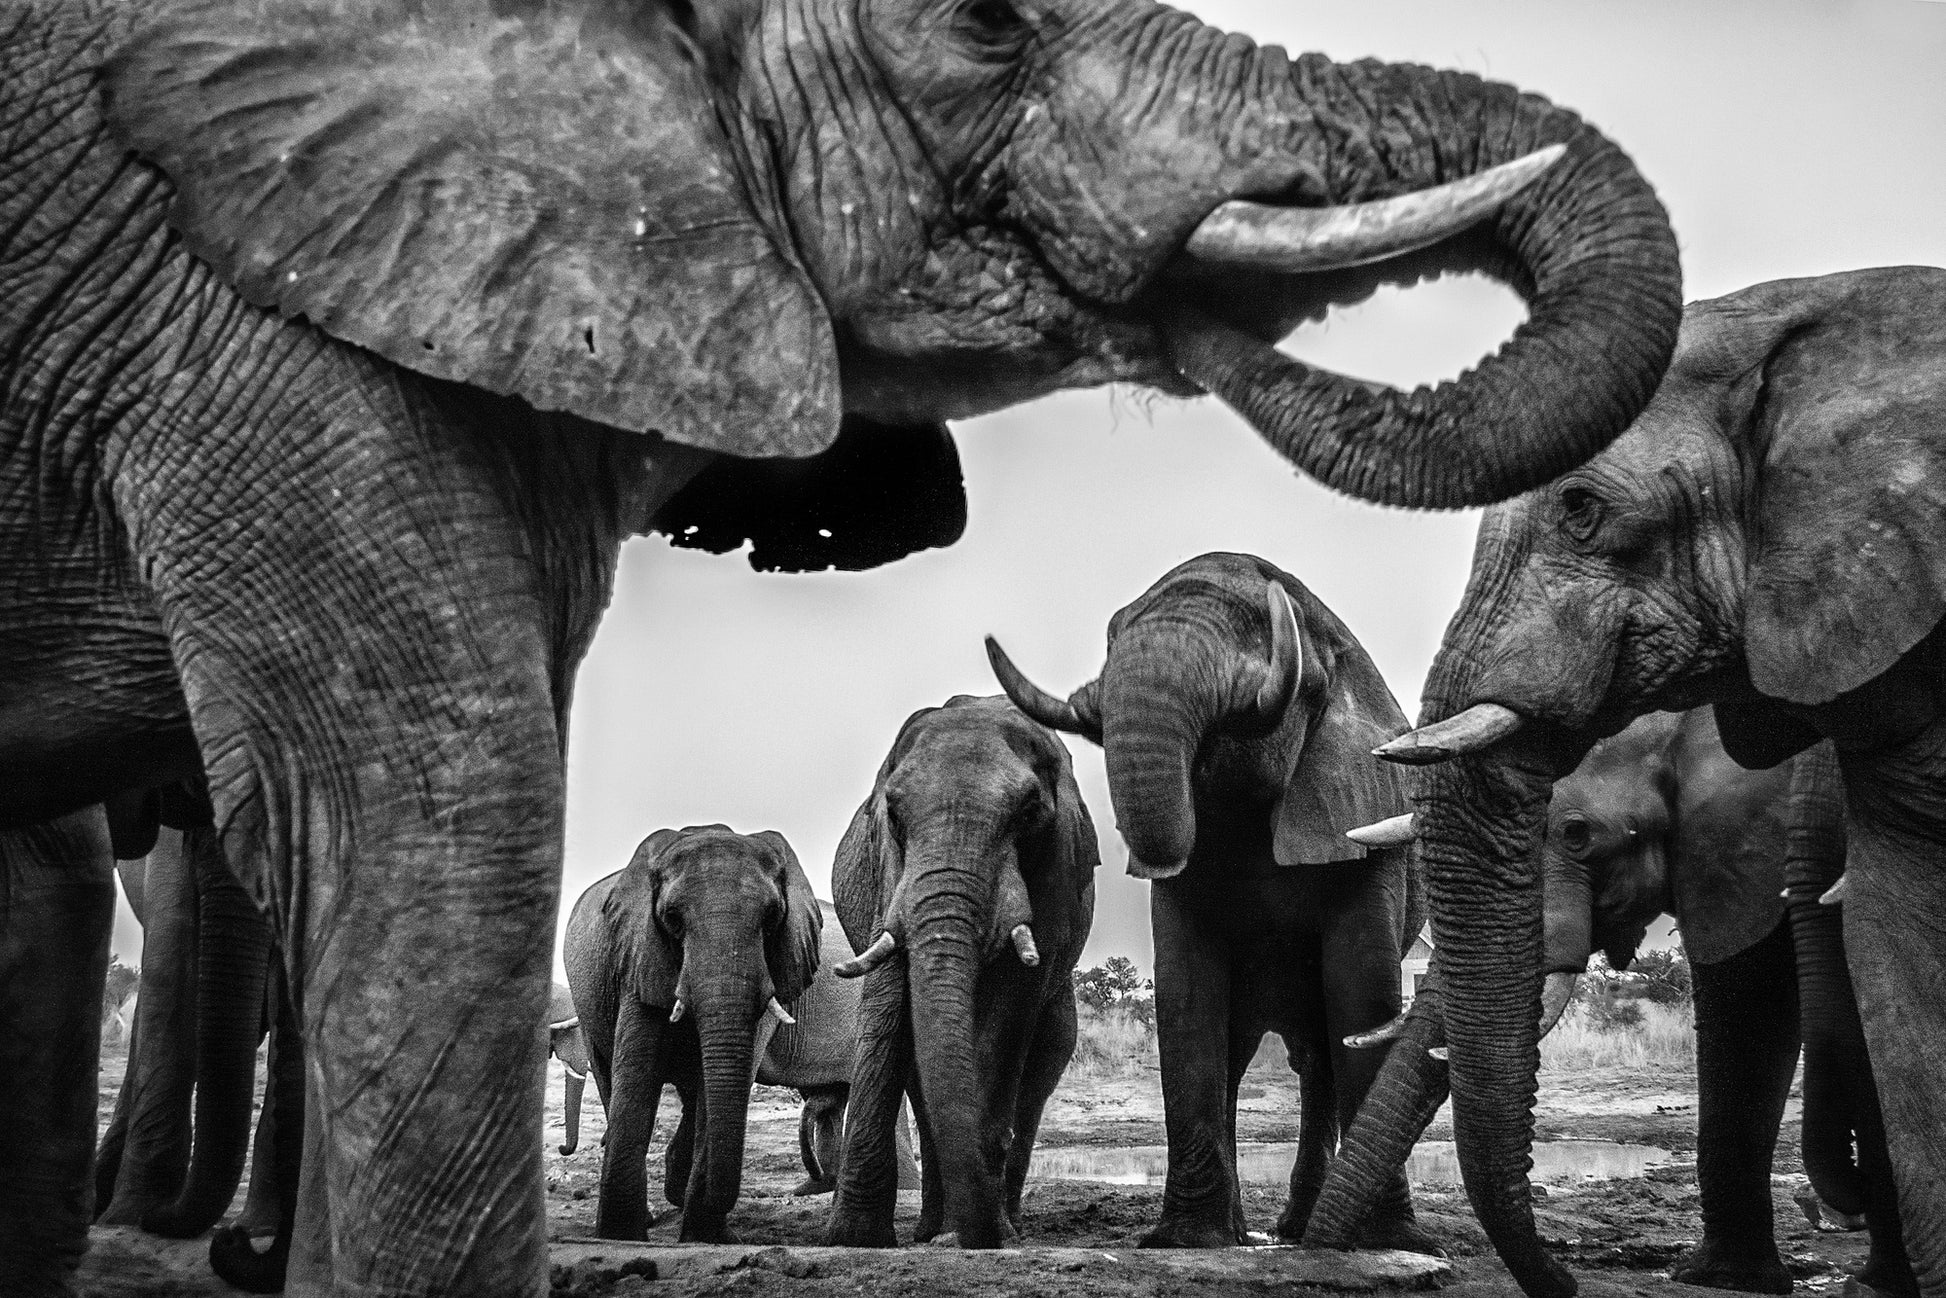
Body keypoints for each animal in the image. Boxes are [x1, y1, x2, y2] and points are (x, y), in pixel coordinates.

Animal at [568, 829, 828, 1245]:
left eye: (773, 917)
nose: (724, 1212)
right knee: (610, 1079)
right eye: (672, 919)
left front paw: (705, 1235)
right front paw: (620, 1236)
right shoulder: (641, 955)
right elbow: (637, 1077)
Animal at [821, 696, 1097, 1253]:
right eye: (893, 816)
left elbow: (1011, 1009)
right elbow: (888, 998)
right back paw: (935, 1229)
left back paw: (1002, 1226)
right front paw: (854, 1238)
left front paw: (984, 1234)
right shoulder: (890, 874)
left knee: (1036, 1077)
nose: (979, 1234)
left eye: (1029, 814)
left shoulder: (1055, 872)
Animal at [988, 552, 1432, 1253]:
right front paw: (1188, 1241)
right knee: (1244, 1053)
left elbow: (1362, 986)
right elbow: (1189, 993)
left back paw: (1297, 1230)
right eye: (1112, 633)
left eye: (1265, 627)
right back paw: (1253, 1232)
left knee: (1319, 1054)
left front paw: (1389, 1242)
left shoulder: (1366, 808)